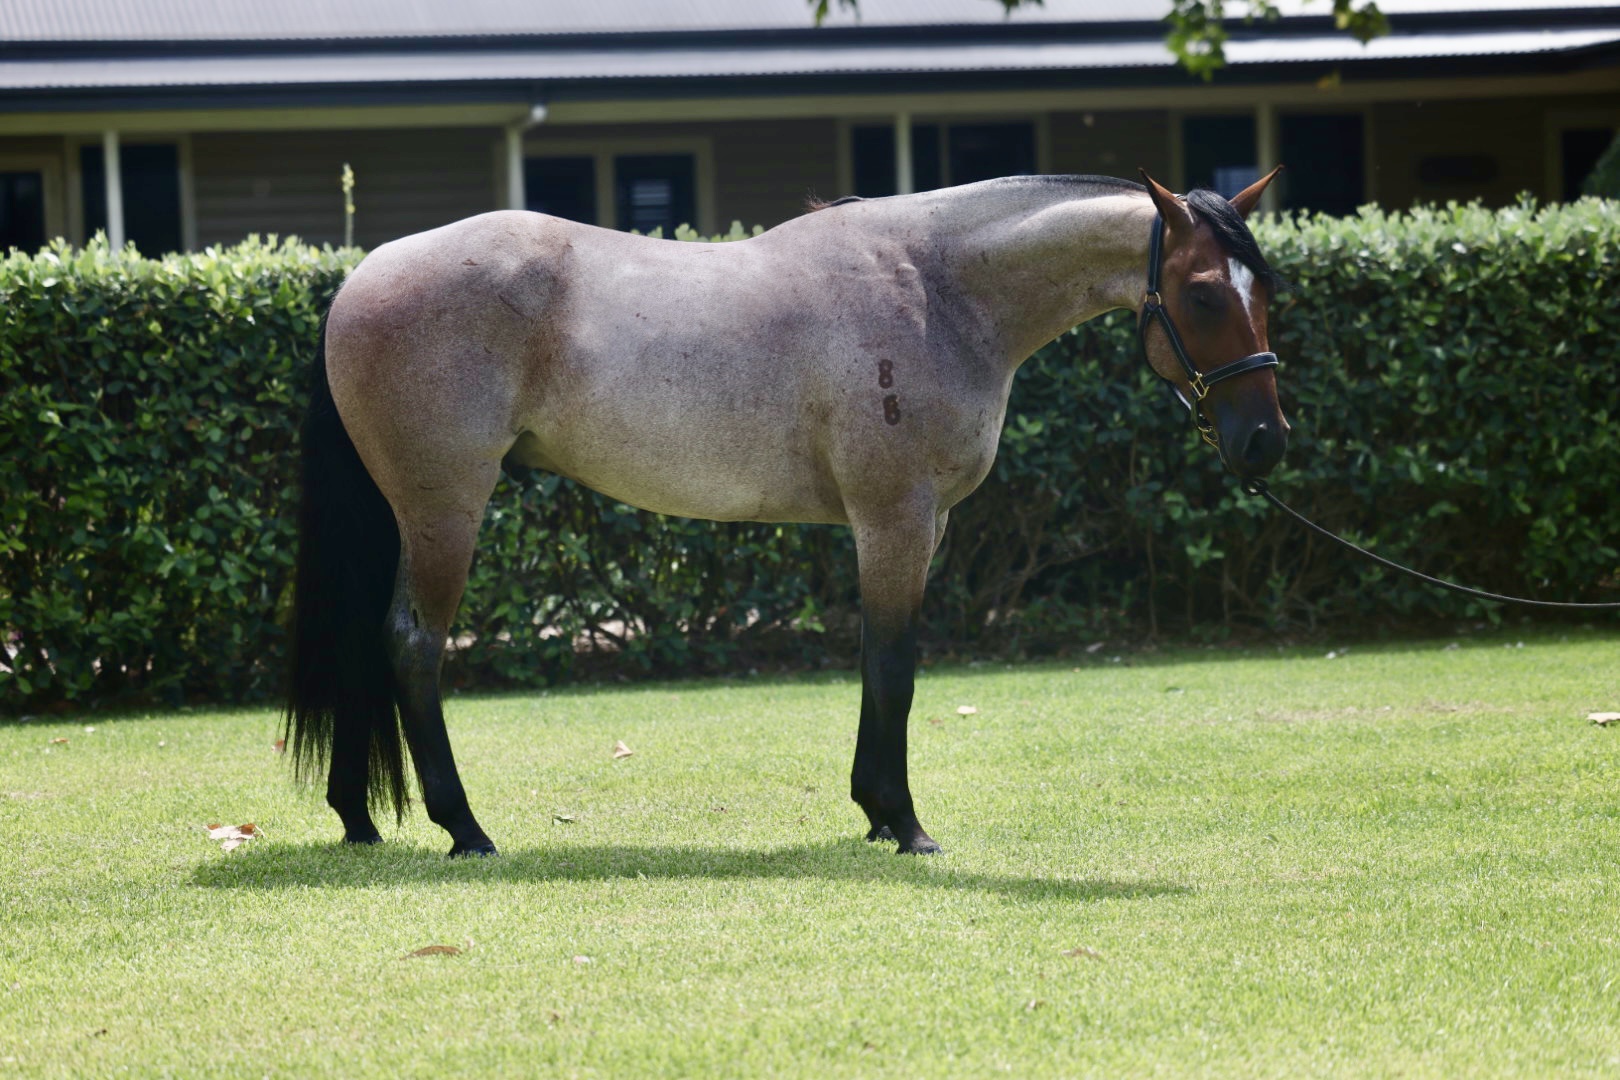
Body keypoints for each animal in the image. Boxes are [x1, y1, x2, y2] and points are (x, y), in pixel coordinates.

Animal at [284, 168, 1289, 857]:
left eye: (1266, 292)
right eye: (1205, 294)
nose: (1266, 442)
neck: (939, 290)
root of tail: (363, 275)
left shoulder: (916, 528)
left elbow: (876, 663)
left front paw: (877, 816)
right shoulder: (896, 521)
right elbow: (895, 669)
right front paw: (903, 822)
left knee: (364, 643)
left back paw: (358, 819)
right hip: (443, 510)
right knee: (413, 644)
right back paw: (466, 828)